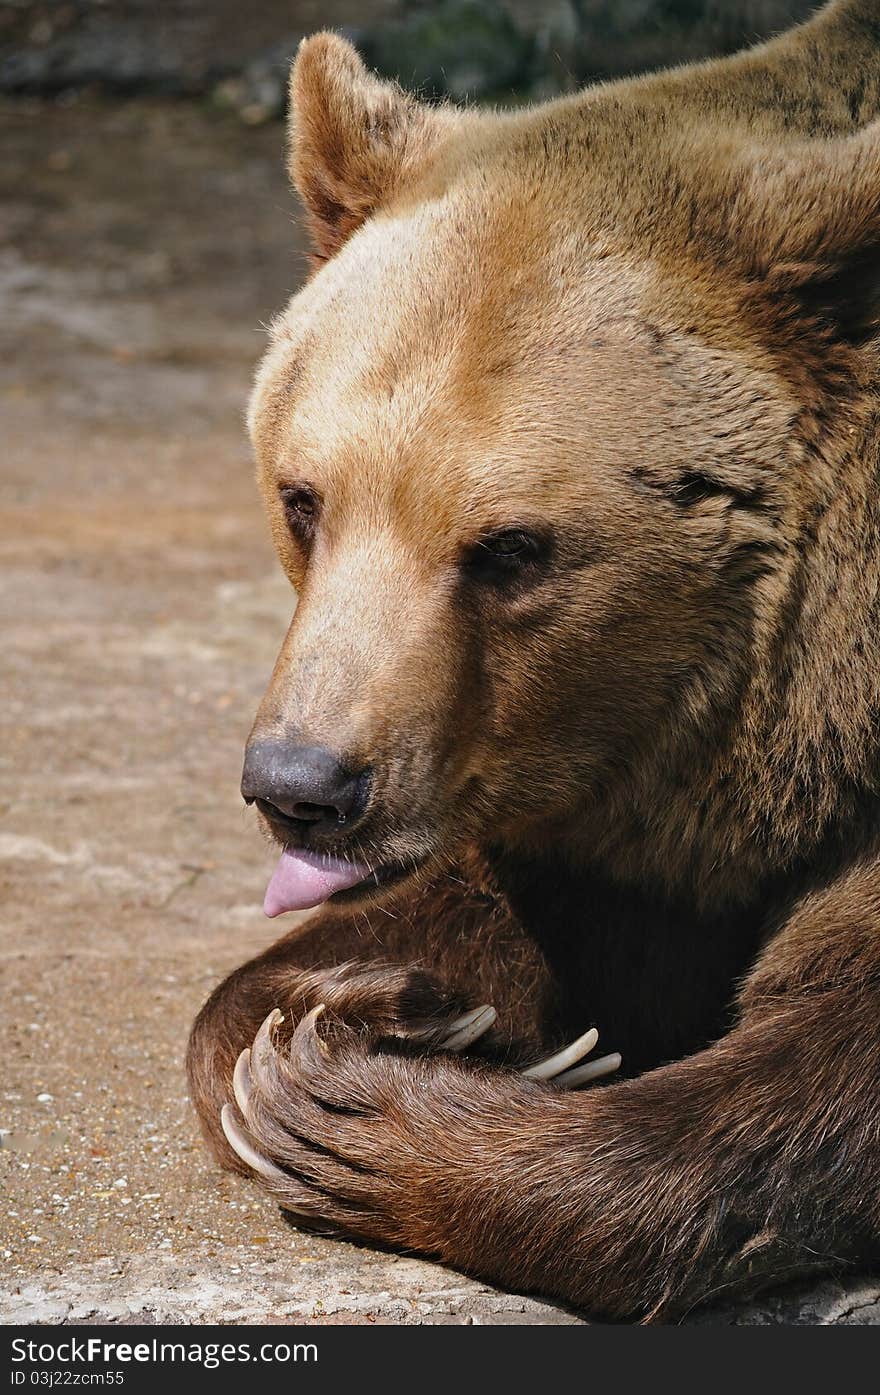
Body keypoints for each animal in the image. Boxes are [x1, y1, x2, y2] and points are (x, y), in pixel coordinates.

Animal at [185, 0, 880, 1322]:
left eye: (511, 546)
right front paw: (369, 1007)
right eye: (305, 498)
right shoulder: (597, 793)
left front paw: (365, 1109)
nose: (302, 787)